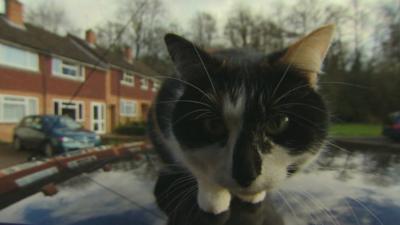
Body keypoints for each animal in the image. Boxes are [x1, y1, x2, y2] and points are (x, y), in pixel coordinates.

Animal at [147, 24, 334, 214]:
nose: (246, 173)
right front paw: (213, 197)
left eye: (278, 123)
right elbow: (195, 164)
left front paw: (253, 195)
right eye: (213, 125)